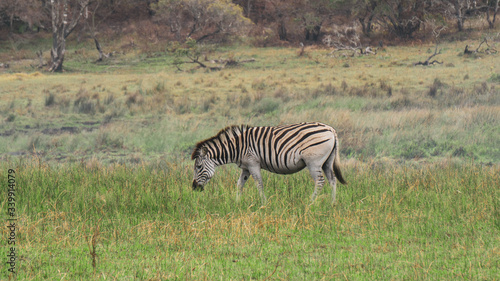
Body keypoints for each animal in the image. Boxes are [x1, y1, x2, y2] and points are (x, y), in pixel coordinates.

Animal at [191, 121, 348, 202]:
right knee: (332, 180)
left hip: (313, 162)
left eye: (198, 167)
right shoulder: (246, 167)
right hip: (327, 161)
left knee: (320, 181)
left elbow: (259, 184)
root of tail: (330, 129)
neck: (237, 147)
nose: (194, 188)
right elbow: (239, 184)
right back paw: (332, 203)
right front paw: (237, 202)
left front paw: (263, 203)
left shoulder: (253, 163)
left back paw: (310, 202)